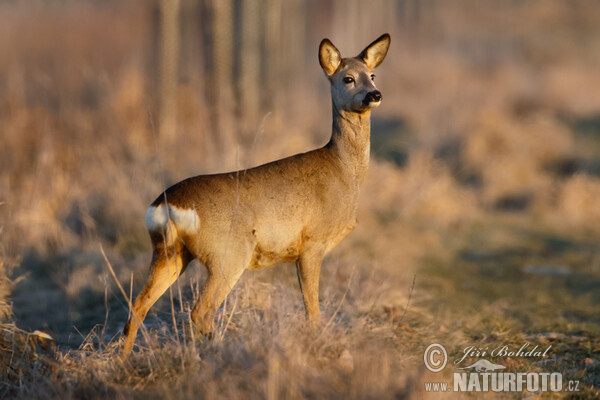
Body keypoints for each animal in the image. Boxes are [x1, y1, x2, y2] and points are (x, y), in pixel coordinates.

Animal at [123, 32, 394, 356]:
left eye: (373, 75)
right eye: (348, 78)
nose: (374, 95)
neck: (343, 170)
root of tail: (165, 205)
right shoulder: (312, 243)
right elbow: (312, 309)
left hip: (169, 252)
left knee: (137, 306)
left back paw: (121, 361)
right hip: (228, 253)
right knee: (201, 311)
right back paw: (223, 350)